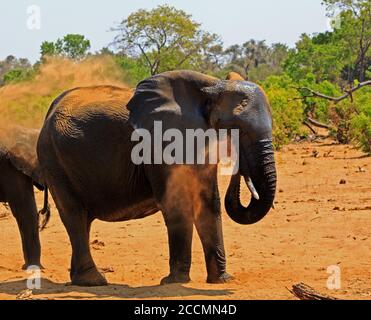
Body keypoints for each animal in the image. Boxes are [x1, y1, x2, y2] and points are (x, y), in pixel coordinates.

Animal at [37, 71, 278, 286]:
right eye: (238, 130)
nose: (240, 167)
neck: (212, 85)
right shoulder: (159, 144)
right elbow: (176, 202)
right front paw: (175, 281)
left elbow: (209, 203)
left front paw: (222, 280)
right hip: (54, 161)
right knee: (74, 215)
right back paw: (93, 281)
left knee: (82, 220)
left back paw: (78, 279)